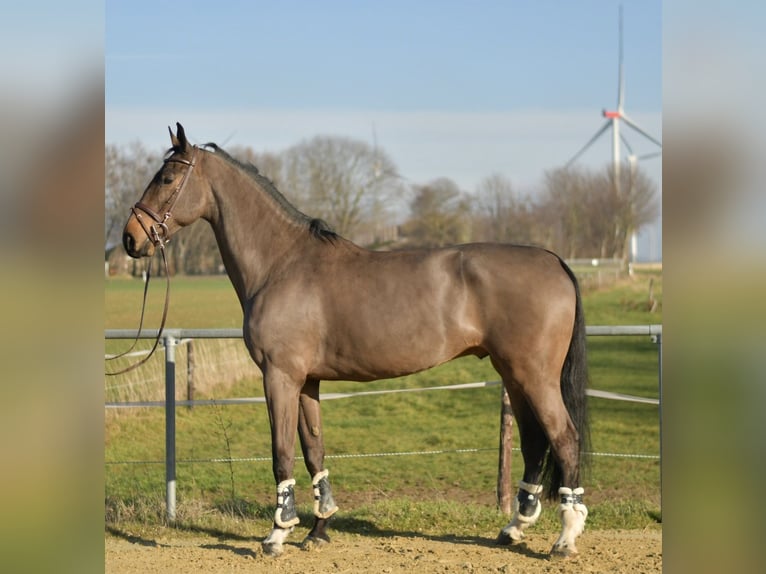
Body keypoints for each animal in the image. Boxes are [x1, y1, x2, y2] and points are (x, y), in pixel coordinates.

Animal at [122, 124, 590, 558]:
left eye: (166, 178)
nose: (130, 238)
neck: (282, 263)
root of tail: (554, 260)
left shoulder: (279, 377)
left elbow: (281, 453)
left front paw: (277, 535)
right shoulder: (306, 382)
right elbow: (314, 450)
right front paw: (318, 528)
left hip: (534, 376)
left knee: (565, 439)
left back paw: (565, 539)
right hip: (512, 373)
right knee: (535, 442)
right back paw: (514, 529)